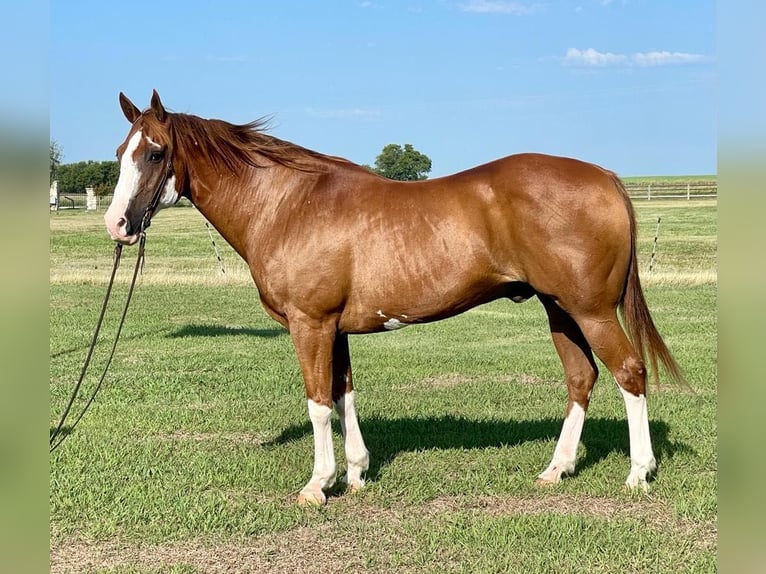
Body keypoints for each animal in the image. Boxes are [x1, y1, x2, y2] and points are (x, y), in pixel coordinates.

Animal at [103, 89, 684, 504]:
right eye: (119, 153)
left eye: (154, 153)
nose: (117, 225)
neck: (288, 204)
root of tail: (605, 177)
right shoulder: (334, 328)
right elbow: (343, 396)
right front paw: (356, 474)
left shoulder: (310, 323)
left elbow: (318, 404)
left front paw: (318, 485)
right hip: (560, 310)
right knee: (581, 378)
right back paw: (556, 469)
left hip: (591, 311)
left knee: (629, 372)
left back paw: (639, 472)